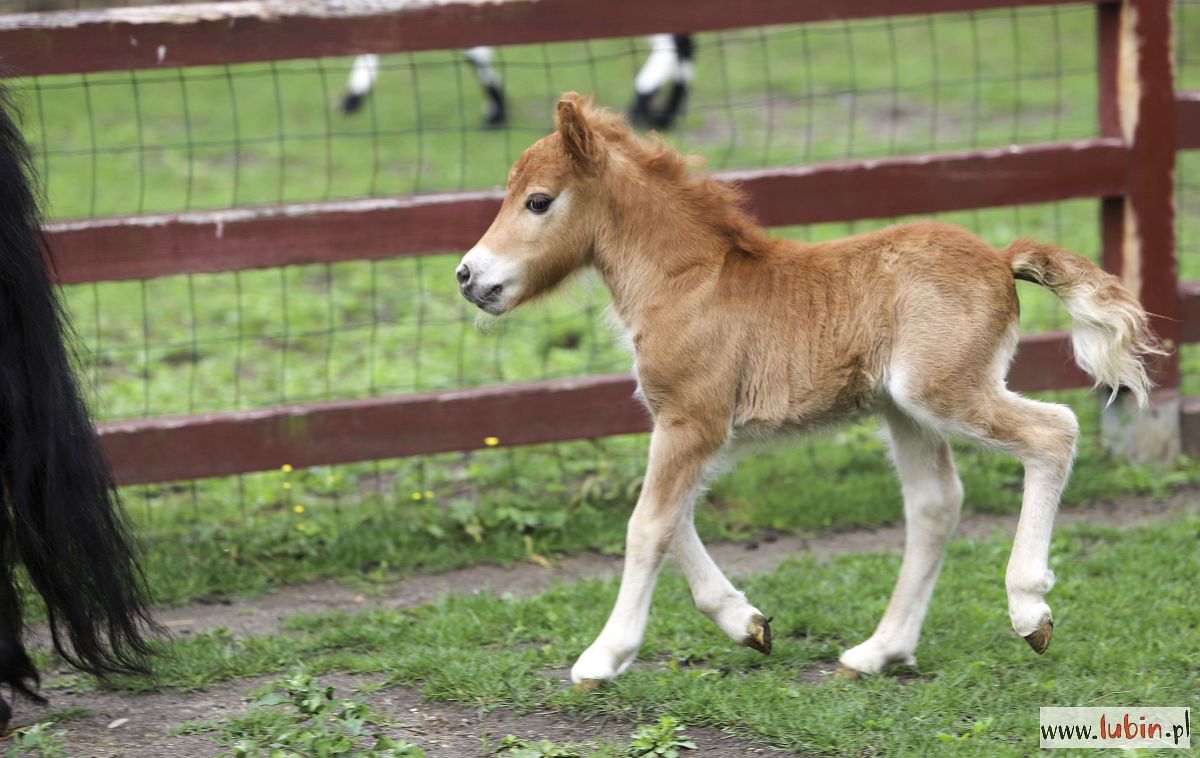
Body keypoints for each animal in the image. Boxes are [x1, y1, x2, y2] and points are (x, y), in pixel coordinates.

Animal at [456, 91, 1161, 686]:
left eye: (538, 201)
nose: (468, 276)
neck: (687, 281)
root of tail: (998, 258)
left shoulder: (694, 421)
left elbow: (647, 525)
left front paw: (604, 657)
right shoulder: (696, 428)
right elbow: (671, 516)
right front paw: (748, 625)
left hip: (943, 391)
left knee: (1054, 431)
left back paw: (1029, 610)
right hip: (905, 411)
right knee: (935, 503)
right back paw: (881, 651)